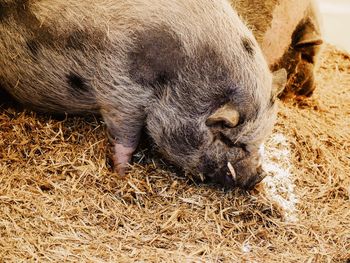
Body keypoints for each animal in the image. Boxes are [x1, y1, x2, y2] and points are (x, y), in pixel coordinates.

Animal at [0, 0, 286, 190]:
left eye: (259, 141)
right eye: (232, 141)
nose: (259, 177)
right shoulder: (120, 89)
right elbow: (126, 135)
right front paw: (121, 174)